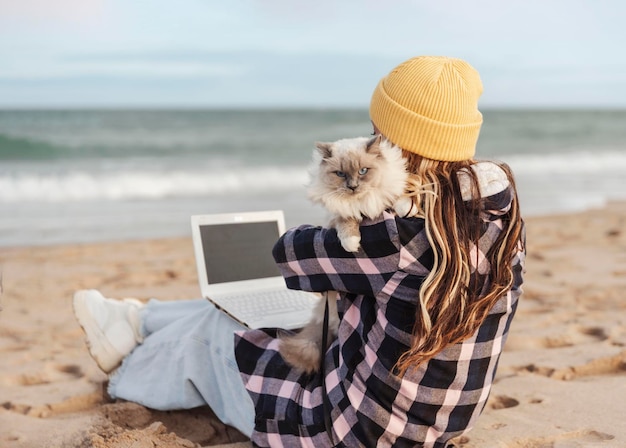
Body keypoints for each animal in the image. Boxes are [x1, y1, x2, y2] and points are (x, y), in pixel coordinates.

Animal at [280, 134, 410, 374]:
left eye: (363, 171)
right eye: (340, 174)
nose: (352, 187)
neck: (362, 203)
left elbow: (397, 195)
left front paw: (406, 206)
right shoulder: (338, 215)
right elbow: (346, 220)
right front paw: (351, 242)